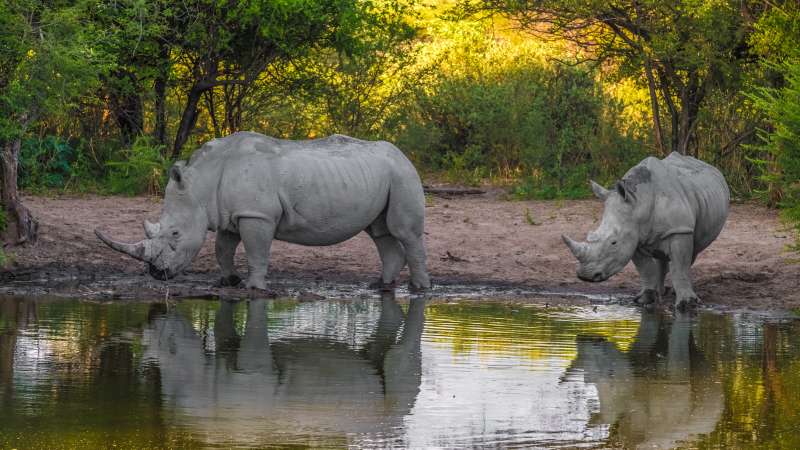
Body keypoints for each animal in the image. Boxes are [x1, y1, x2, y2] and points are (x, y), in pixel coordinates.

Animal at [95, 132, 431, 291]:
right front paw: (227, 282)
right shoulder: (230, 214)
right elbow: (222, 248)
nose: (156, 273)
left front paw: (253, 288)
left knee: (404, 232)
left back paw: (418, 289)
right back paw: (381, 286)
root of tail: (404, 154)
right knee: (380, 232)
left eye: (175, 233)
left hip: (402, 174)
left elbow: (256, 250)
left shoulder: (256, 215)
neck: (202, 183)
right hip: (384, 175)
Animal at [562, 152, 729, 308]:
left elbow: (679, 267)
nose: (585, 276)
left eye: (613, 242)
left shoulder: (679, 229)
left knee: (691, 253)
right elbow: (645, 269)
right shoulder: (634, 236)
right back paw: (660, 291)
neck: (639, 203)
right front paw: (645, 299)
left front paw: (687, 305)